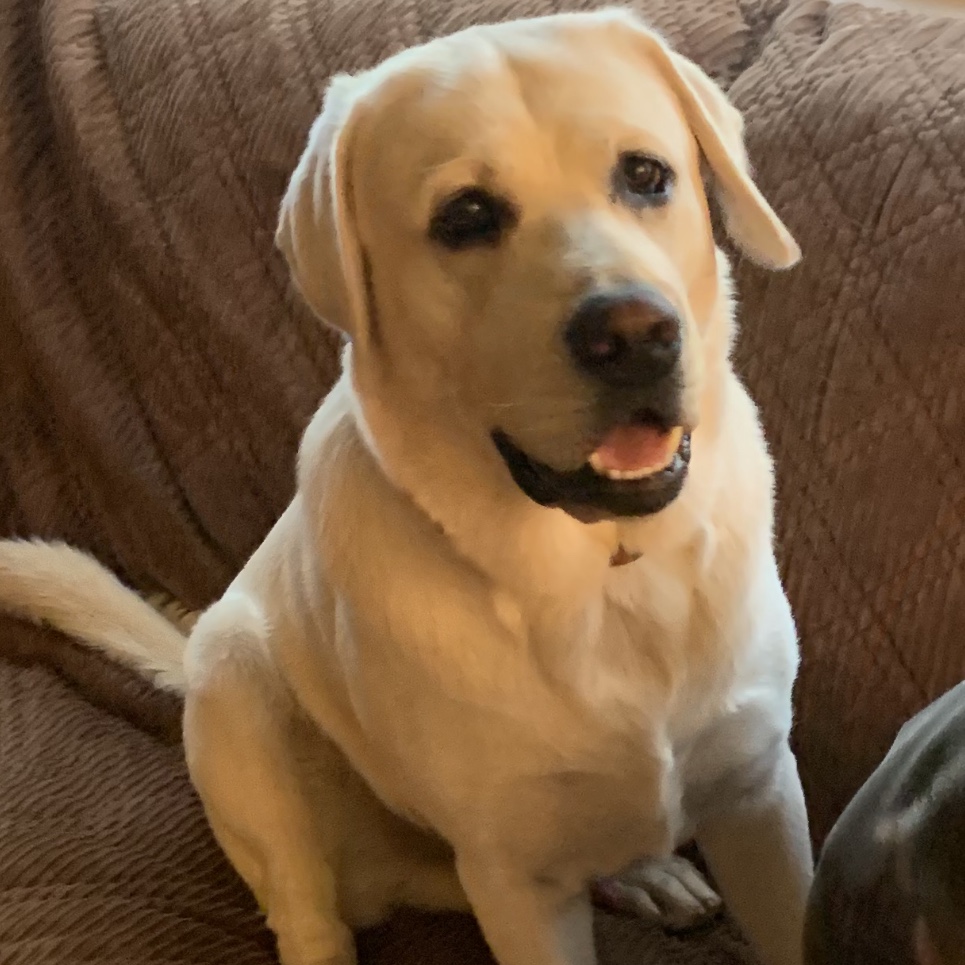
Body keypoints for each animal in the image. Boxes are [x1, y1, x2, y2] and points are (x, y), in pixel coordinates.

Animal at [0, 9, 816, 964]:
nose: (634, 334)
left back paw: (649, 872)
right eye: (465, 217)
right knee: (308, 910)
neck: (601, 573)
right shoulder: (517, 882)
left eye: (645, 174)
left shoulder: (761, 794)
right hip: (240, 695)